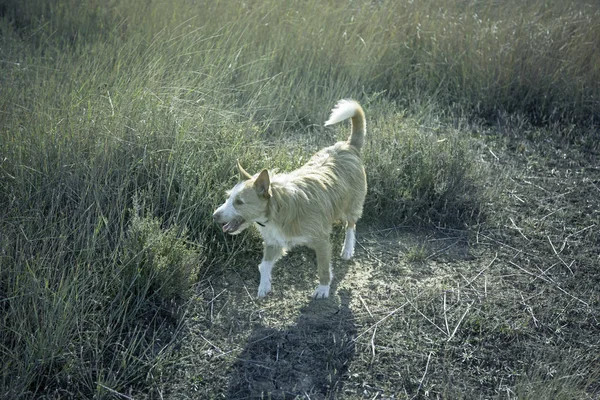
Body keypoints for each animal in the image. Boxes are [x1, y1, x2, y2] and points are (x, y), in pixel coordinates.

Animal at [213, 100, 368, 298]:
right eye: (228, 198)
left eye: (239, 202)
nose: (214, 216)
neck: (276, 209)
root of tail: (348, 146)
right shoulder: (274, 242)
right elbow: (264, 265)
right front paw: (264, 286)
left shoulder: (321, 241)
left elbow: (323, 267)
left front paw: (323, 288)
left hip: (351, 206)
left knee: (351, 225)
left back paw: (347, 249)